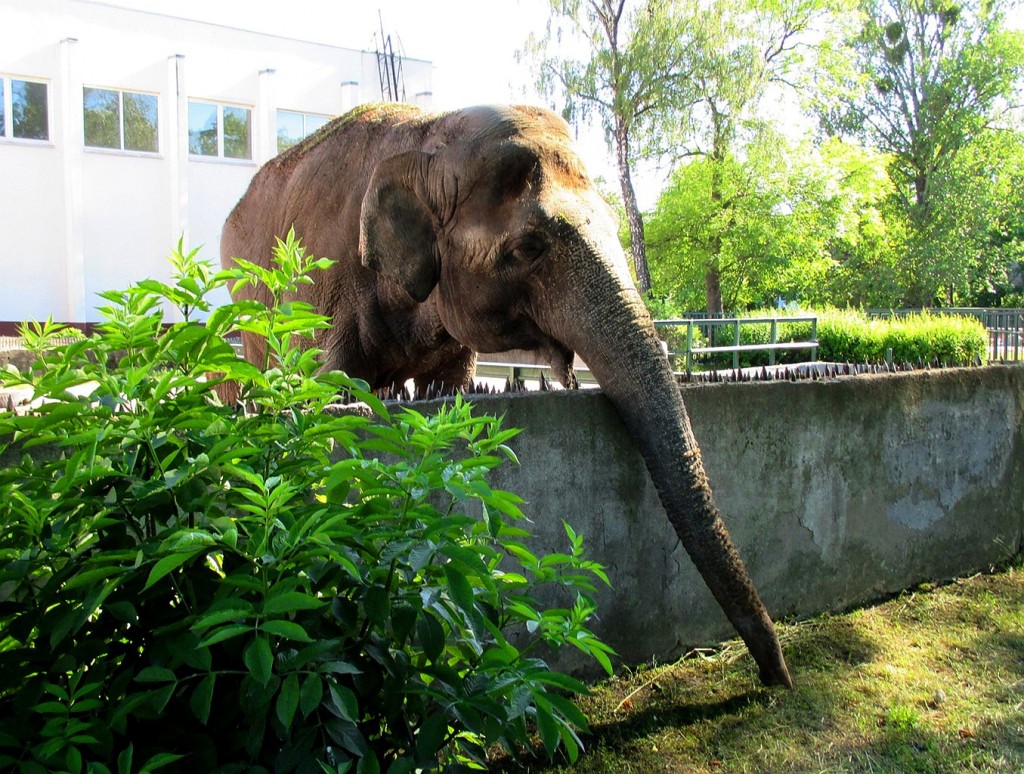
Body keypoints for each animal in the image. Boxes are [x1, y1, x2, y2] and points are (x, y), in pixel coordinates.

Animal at [220, 102, 790, 688]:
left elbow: (445, 389)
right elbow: (324, 393)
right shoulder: (320, 289)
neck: (428, 138)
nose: (776, 679)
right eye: (527, 248)